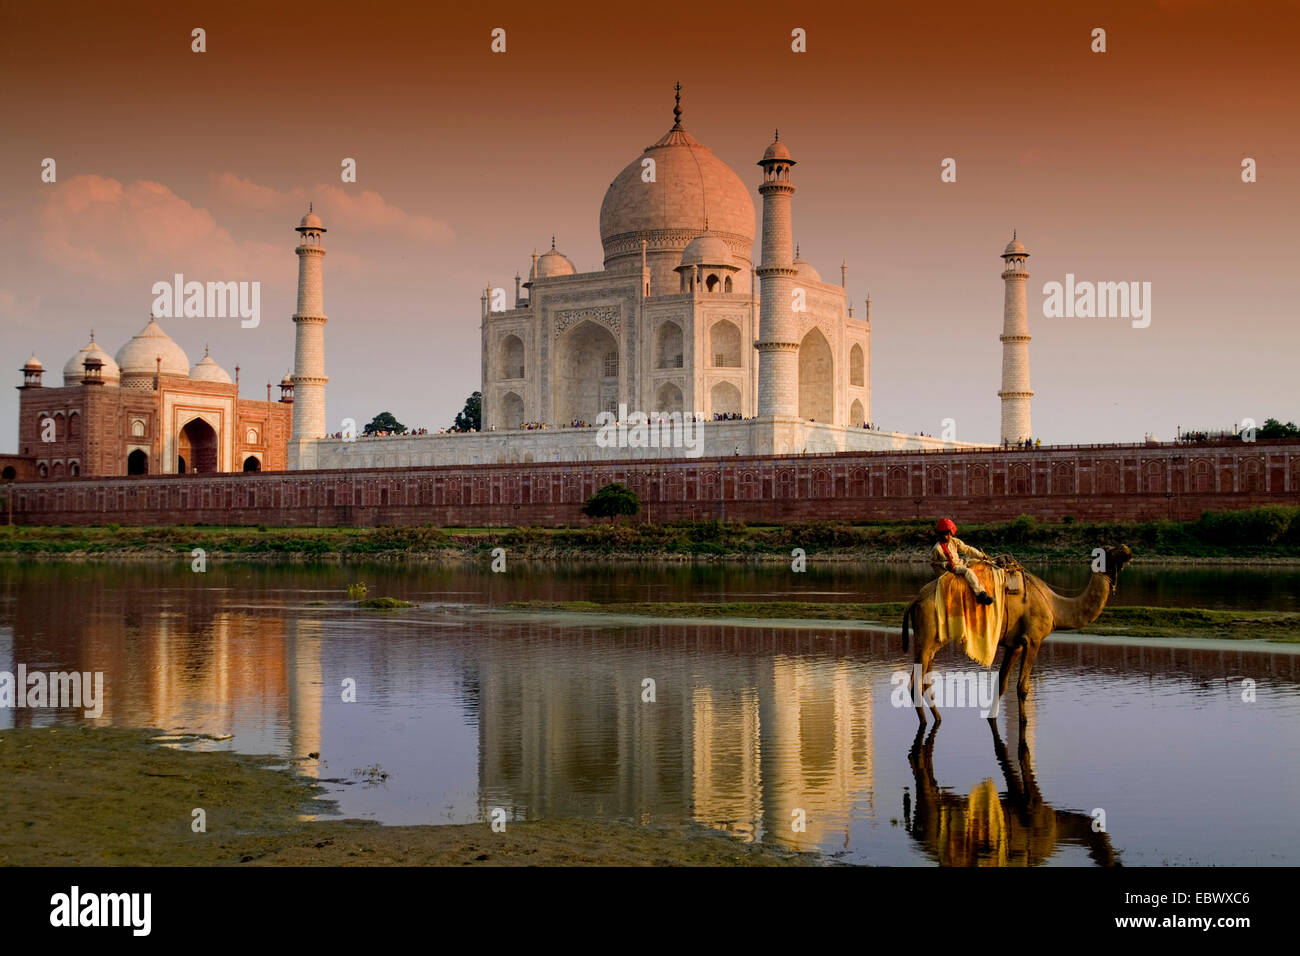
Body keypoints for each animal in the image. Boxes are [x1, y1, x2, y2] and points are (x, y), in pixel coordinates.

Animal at [899, 541, 1133, 723]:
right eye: (1109, 551)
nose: (1127, 549)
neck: (1054, 607)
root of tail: (916, 599)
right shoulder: (1033, 639)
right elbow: (1022, 687)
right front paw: (1024, 720)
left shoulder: (1015, 645)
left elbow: (1002, 684)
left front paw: (991, 716)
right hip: (926, 636)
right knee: (914, 683)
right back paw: (926, 722)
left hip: (933, 641)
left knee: (925, 681)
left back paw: (938, 718)